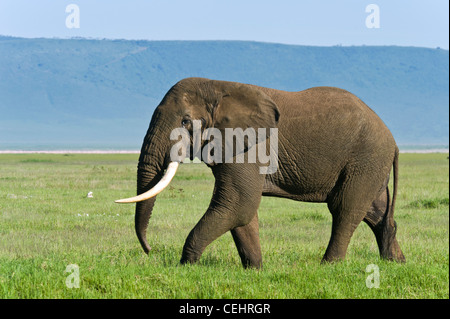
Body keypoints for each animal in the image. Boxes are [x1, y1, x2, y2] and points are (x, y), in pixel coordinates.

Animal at [115, 78, 404, 270]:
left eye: (186, 121)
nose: (149, 250)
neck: (217, 87)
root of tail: (393, 140)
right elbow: (242, 210)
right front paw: (255, 270)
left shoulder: (248, 145)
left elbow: (238, 204)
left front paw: (187, 266)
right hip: (369, 163)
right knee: (376, 213)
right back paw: (395, 262)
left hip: (365, 157)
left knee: (345, 208)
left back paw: (329, 266)